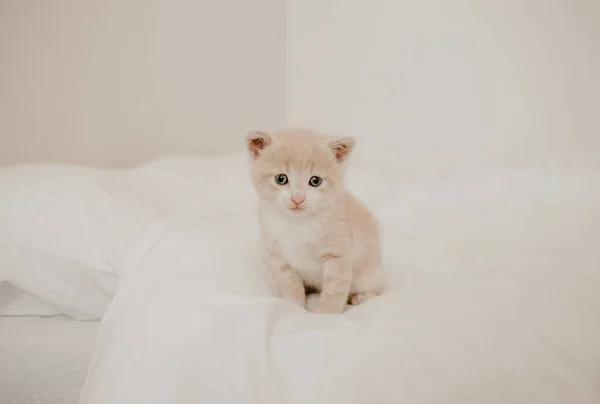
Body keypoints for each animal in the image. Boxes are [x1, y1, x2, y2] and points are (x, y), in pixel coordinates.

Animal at [247, 128, 384, 314]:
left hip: (370, 272)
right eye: (281, 179)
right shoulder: (276, 255)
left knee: (376, 288)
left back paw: (360, 297)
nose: (298, 198)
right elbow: (290, 283)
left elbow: (335, 288)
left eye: (315, 181)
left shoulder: (338, 255)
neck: (297, 224)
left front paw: (325, 314)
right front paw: (293, 306)